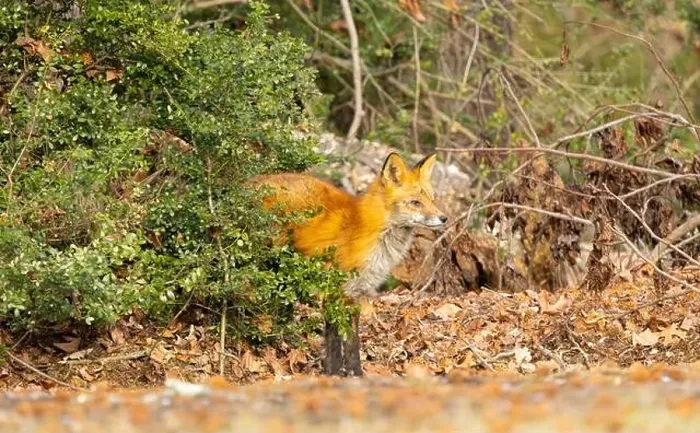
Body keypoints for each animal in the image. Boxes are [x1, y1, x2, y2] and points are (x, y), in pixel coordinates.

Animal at [249, 152, 447, 376]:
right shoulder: (334, 289)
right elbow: (334, 339)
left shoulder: (356, 292)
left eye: (431, 199)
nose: (444, 218)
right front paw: (333, 372)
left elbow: (352, 342)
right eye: (415, 202)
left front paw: (355, 373)